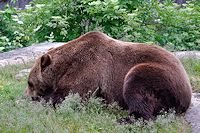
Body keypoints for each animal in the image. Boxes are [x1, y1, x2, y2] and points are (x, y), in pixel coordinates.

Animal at [25, 31, 192, 120]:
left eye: (29, 83)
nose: (26, 96)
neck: (65, 65)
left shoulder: (88, 67)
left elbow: (70, 93)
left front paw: (45, 100)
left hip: (159, 77)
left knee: (137, 86)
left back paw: (125, 119)